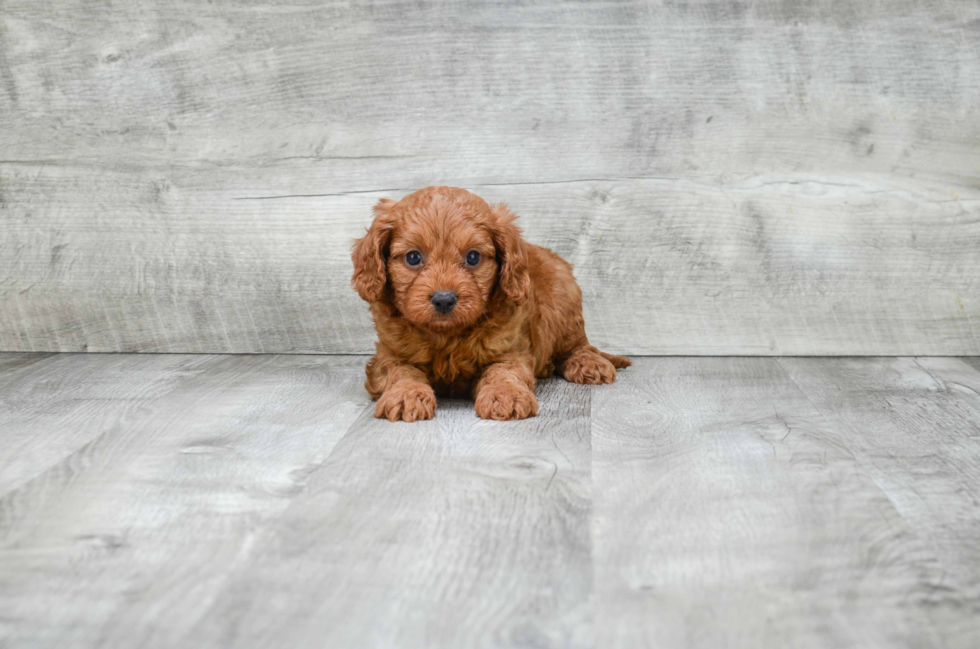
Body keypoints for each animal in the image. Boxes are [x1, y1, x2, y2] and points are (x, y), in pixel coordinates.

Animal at [350, 185, 628, 422]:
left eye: (473, 257)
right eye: (413, 257)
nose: (443, 299)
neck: (446, 335)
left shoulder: (508, 350)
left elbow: (504, 372)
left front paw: (506, 395)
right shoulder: (389, 354)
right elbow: (400, 372)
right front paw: (406, 395)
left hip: (564, 306)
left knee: (578, 345)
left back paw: (587, 362)